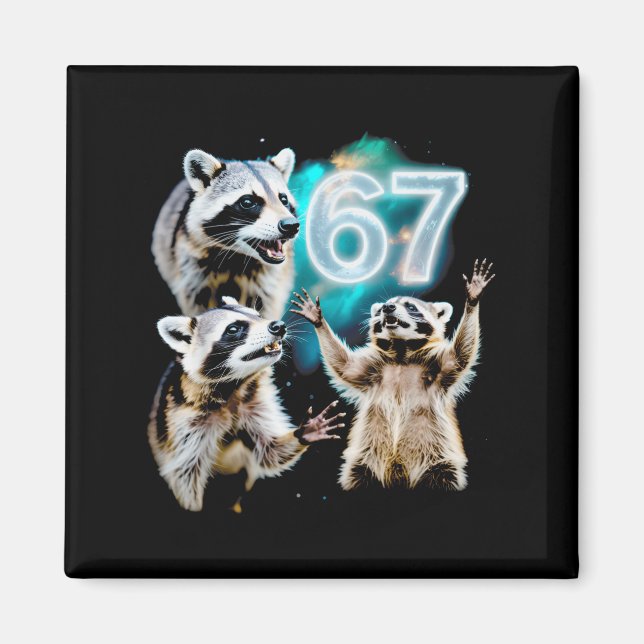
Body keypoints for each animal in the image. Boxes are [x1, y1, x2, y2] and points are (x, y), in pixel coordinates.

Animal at [148, 296, 345, 511]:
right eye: (233, 329)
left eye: (258, 316)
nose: (278, 326)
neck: (232, 387)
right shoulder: (183, 419)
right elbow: (185, 475)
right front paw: (192, 507)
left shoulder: (253, 402)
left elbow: (269, 451)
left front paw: (305, 432)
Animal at [152, 148, 299, 319]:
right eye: (247, 202)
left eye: (283, 199)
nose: (291, 225)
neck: (236, 257)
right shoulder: (192, 274)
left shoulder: (269, 283)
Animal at [292, 259, 495, 491]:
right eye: (382, 307)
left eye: (411, 306)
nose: (387, 308)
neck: (401, 353)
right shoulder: (372, 370)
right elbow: (345, 366)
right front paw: (318, 320)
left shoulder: (437, 366)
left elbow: (459, 356)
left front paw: (472, 299)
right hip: (364, 463)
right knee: (358, 475)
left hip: (439, 461)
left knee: (444, 476)